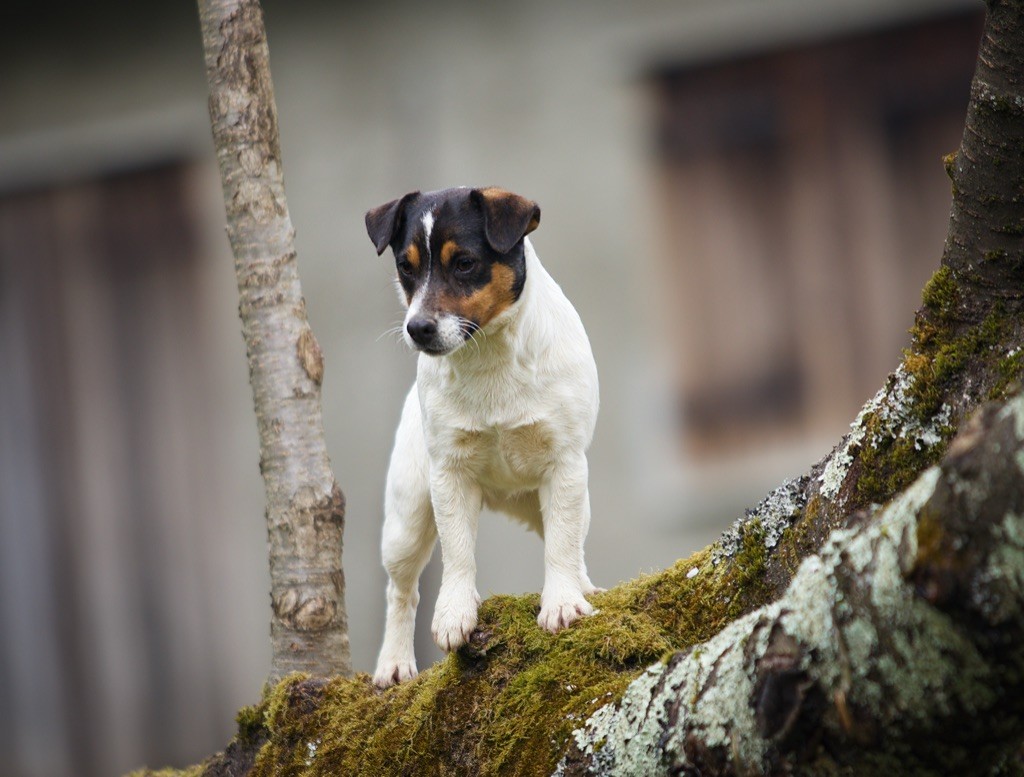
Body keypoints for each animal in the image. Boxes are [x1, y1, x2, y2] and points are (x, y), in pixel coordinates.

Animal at [364, 187, 598, 687]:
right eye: (406, 267)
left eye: (465, 263)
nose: (417, 328)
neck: (489, 354)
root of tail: (503, 497)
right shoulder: (450, 476)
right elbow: (457, 554)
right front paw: (455, 614)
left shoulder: (565, 465)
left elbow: (562, 545)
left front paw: (563, 604)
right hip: (407, 519)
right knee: (401, 591)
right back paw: (394, 663)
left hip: (561, 499)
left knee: (571, 541)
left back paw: (585, 587)